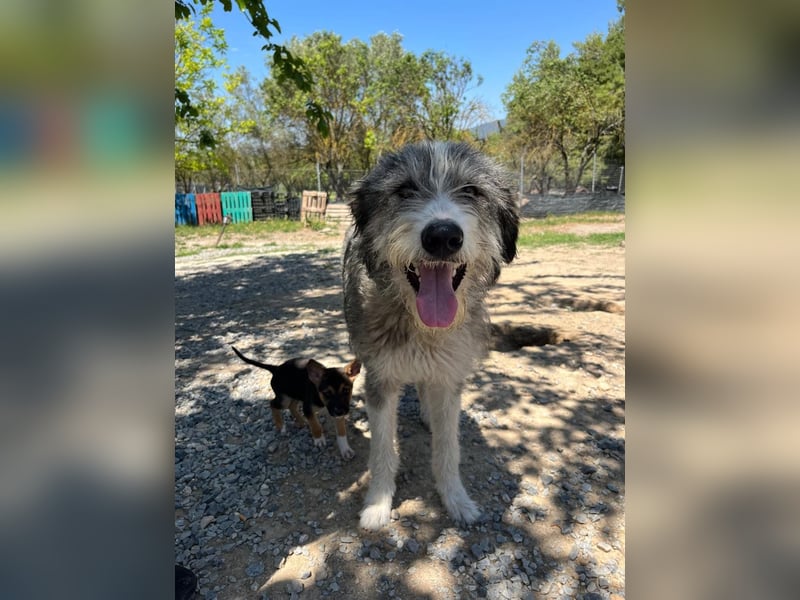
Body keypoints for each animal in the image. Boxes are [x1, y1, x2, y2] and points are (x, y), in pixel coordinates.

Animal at [231, 346, 361, 459]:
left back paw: (301, 421)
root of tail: (276, 369)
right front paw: (319, 439)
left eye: (346, 390)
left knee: (292, 407)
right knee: (273, 404)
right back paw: (281, 426)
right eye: (327, 393)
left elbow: (341, 432)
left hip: (296, 395)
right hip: (284, 399)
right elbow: (315, 425)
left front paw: (345, 449)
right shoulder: (308, 408)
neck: (321, 399)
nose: (340, 411)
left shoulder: (337, 414)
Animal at [343, 141, 519, 529]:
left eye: (471, 190)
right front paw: (377, 505)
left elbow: (448, 449)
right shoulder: (380, 378)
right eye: (404, 190)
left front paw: (456, 499)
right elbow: (382, 450)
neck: (422, 326)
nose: (442, 236)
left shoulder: (449, 378)